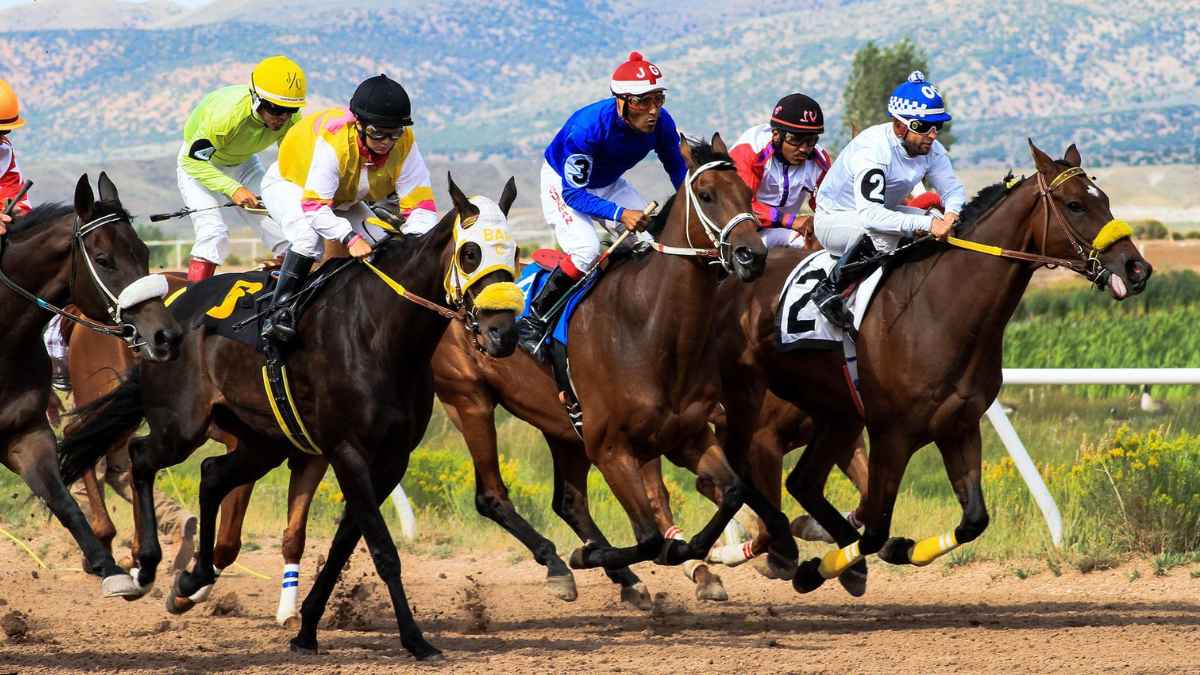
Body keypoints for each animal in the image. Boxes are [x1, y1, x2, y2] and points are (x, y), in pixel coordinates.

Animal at [1, 173, 181, 598]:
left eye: (144, 251)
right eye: (103, 259)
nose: (165, 336)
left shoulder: (25, 434)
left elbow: (62, 500)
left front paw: (111, 568)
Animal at [58, 175, 524, 660]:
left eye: (514, 252)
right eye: (470, 253)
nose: (502, 334)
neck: (379, 330)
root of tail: (161, 320)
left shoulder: (390, 459)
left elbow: (343, 547)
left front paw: (306, 629)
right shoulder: (347, 451)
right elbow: (382, 550)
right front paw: (415, 639)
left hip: (262, 440)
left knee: (211, 474)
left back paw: (192, 577)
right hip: (181, 425)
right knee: (140, 456)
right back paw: (145, 565)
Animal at [715, 141, 1152, 595]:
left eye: (1105, 200)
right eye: (1075, 204)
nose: (1136, 268)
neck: (940, 311)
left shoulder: (959, 425)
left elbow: (973, 520)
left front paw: (893, 551)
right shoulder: (891, 435)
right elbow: (875, 529)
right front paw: (818, 566)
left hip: (837, 417)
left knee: (802, 482)